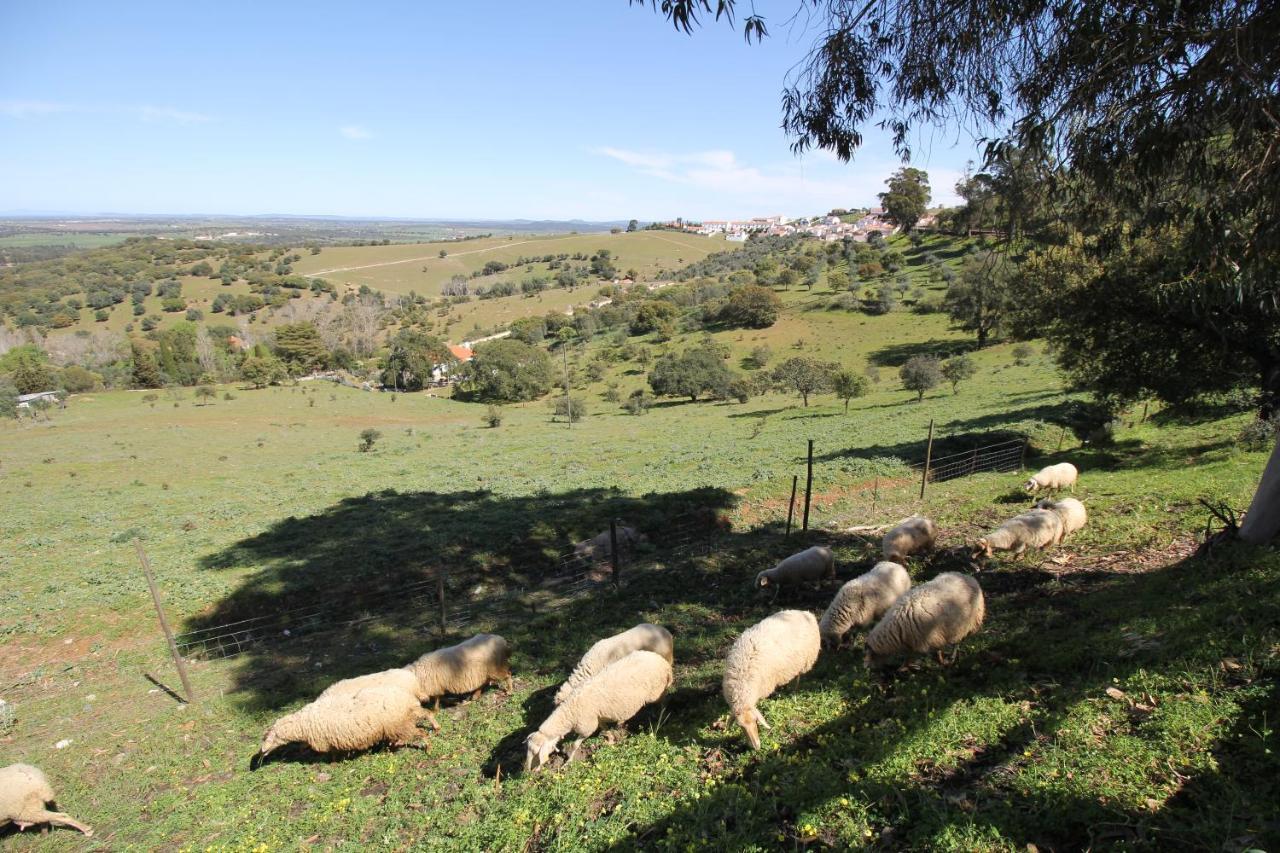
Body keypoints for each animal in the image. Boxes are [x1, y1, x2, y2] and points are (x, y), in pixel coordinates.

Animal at [250, 681, 430, 768]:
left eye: (268, 738)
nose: (260, 754)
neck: (303, 724)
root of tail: (406, 697)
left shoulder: (328, 740)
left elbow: (333, 755)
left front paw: (334, 764)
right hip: (397, 726)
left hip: (399, 725)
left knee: (420, 733)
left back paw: (427, 747)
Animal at [524, 648, 675, 768]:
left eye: (536, 753)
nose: (528, 771)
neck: (570, 712)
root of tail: (662, 661)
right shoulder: (598, 717)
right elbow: (604, 728)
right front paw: (611, 739)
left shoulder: (587, 727)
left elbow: (575, 745)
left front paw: (568, 762)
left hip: (656, 691)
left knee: (664, 700)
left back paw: (660, 718)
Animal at [721, 607, 819, 747]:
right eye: (740, 726)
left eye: (756, 721)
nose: (755, 746)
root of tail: (803, 612)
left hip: (803, 661)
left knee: (798, 677)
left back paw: (793, 692)